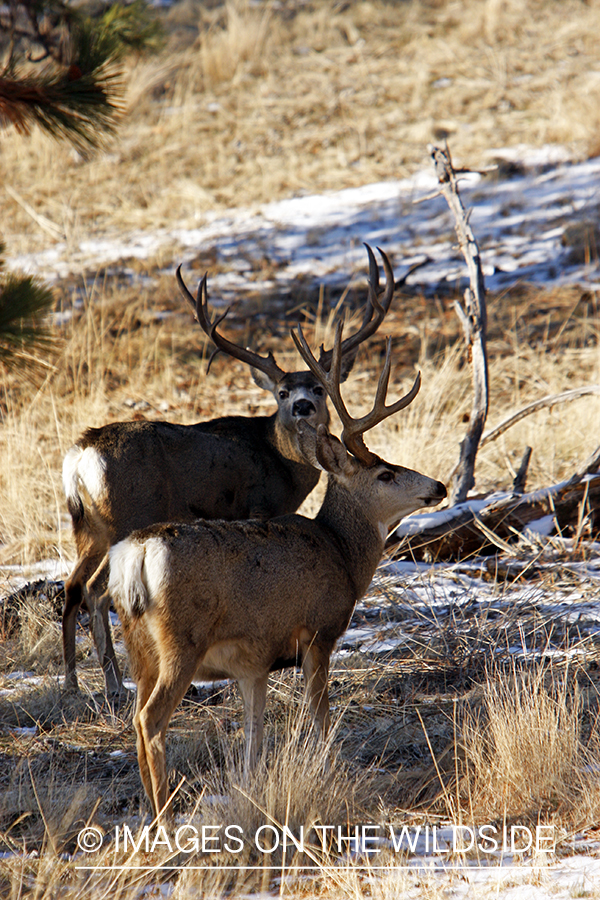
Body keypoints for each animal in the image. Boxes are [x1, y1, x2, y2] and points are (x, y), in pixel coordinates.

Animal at [62, 245, 399, 696]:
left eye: (319, 388)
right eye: (282, 392)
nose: (303, 406)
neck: (280, 458)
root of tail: (81, 455)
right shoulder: (259, 505)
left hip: (88, 526)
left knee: (71, 587)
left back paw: (72, 684)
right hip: (125, 515)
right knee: (95, 591)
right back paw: (115, 685)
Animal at [106, 318, 447, 818]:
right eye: (385, 474)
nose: (439, 486)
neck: (341, 553)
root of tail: (139, 551)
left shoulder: (253, 662)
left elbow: (254, 736)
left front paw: (250, 790)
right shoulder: (318, 632)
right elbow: (319, 716)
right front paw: (328, 770)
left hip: (137, 642)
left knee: (135, 717)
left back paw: (153, 814)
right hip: (181, 639)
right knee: (151, 719)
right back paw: (165, 817)